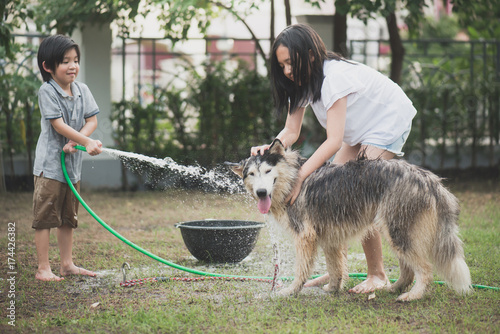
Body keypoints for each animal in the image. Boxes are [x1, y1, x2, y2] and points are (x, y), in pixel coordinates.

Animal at [230, 140, 472, 302]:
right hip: (396, 233)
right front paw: (332, 288)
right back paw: (393, 289)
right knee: (409, 269)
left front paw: (290, 291)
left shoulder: (305, 237)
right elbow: (336, 267)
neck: (293, 180)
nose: (261, 193)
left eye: (268, 170)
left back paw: (413, 295)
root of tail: (429, 178)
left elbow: (301, 270)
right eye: (251, 174)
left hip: (397, 232)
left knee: (425, 269)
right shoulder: (328, 237)